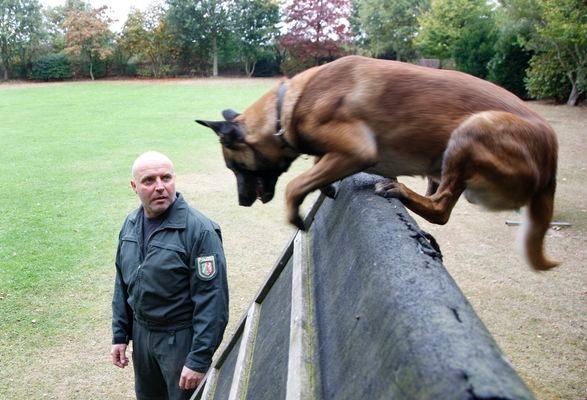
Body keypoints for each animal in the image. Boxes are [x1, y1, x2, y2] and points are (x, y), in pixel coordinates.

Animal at [198, 54, 560, 270]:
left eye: (235, 168)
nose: (242, 202)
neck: (285, 107)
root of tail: (551, 154)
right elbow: (315, 165)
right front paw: (325, 185)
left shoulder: (358, 151)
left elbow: (295, 185)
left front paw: (297, 213)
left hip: (473, 130)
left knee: (440, 209)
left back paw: (399, 192)